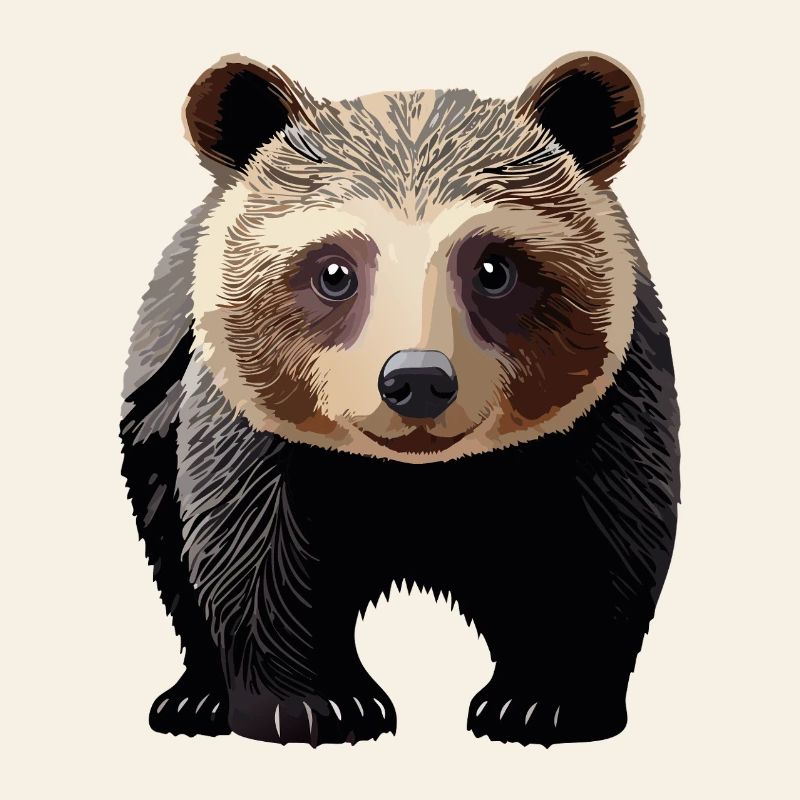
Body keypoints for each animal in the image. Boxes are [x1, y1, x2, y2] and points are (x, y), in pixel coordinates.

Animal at [120, 51, 680, 747]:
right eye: (333, 271)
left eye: (494, 268)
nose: (417, 380)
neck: (415, 475)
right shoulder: (248, 422)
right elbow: (252, 548)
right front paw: (315, 705)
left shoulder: (602, 411)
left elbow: (597, 544)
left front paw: (542, 701)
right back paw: (194, 699)